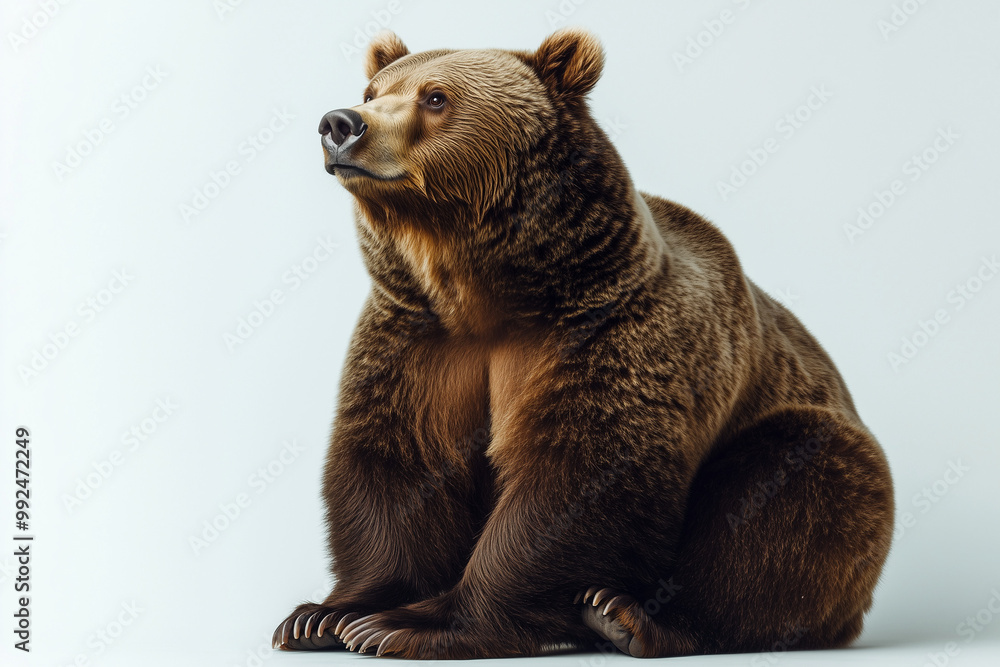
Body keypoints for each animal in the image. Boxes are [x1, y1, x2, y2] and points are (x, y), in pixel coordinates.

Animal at [271, 28, 894, 659]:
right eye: (372, 91)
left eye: (436, 97)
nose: (341, 123)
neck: (486, 292)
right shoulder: (418, 341)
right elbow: (395, 462)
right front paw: (327, 616)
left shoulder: (609, 332)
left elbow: (576, 479)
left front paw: (410, 624)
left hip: (801, 431)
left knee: (784, 499)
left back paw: (631, 616)